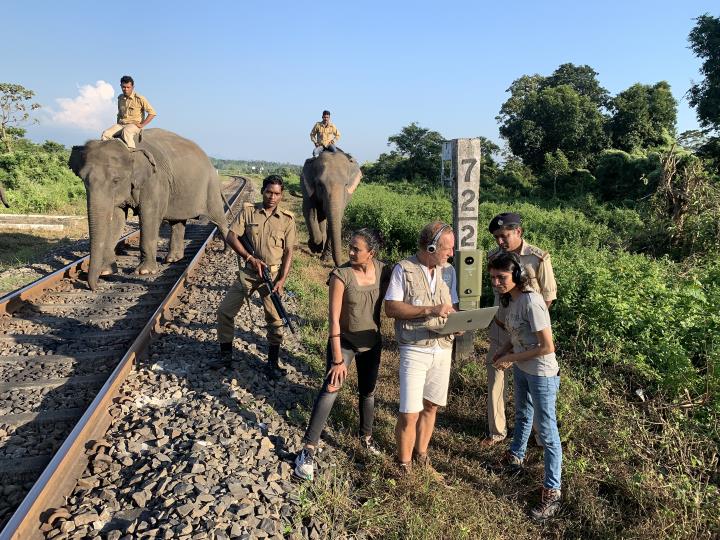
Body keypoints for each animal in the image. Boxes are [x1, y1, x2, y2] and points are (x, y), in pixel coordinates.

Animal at [69, 128, 228, 288]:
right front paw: (106, 271)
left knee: (218, 218)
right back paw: (173, 259)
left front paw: (144, 272)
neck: (129, 148)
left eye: (116, 180)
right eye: (83, 180)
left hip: (210, 187)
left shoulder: (155, 181)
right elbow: (117, 221)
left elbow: (149, 216)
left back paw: (225, 251)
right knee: (177, 221)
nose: (95, 287)